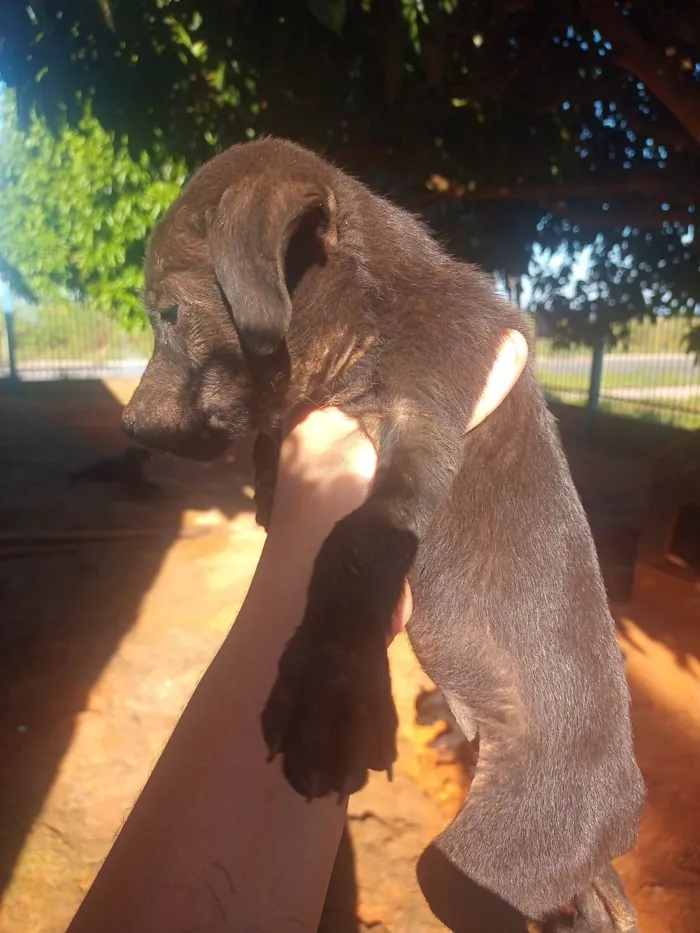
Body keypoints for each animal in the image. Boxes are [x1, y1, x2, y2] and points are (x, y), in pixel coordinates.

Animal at [121, 138, 644, 932]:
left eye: (171, 313)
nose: (126, 425)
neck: (376, 313)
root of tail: (626, 799)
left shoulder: (426, 424)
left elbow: (356, 546)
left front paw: (327, 695)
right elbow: (283, 456)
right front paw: (270, 491)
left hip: (500, 850)